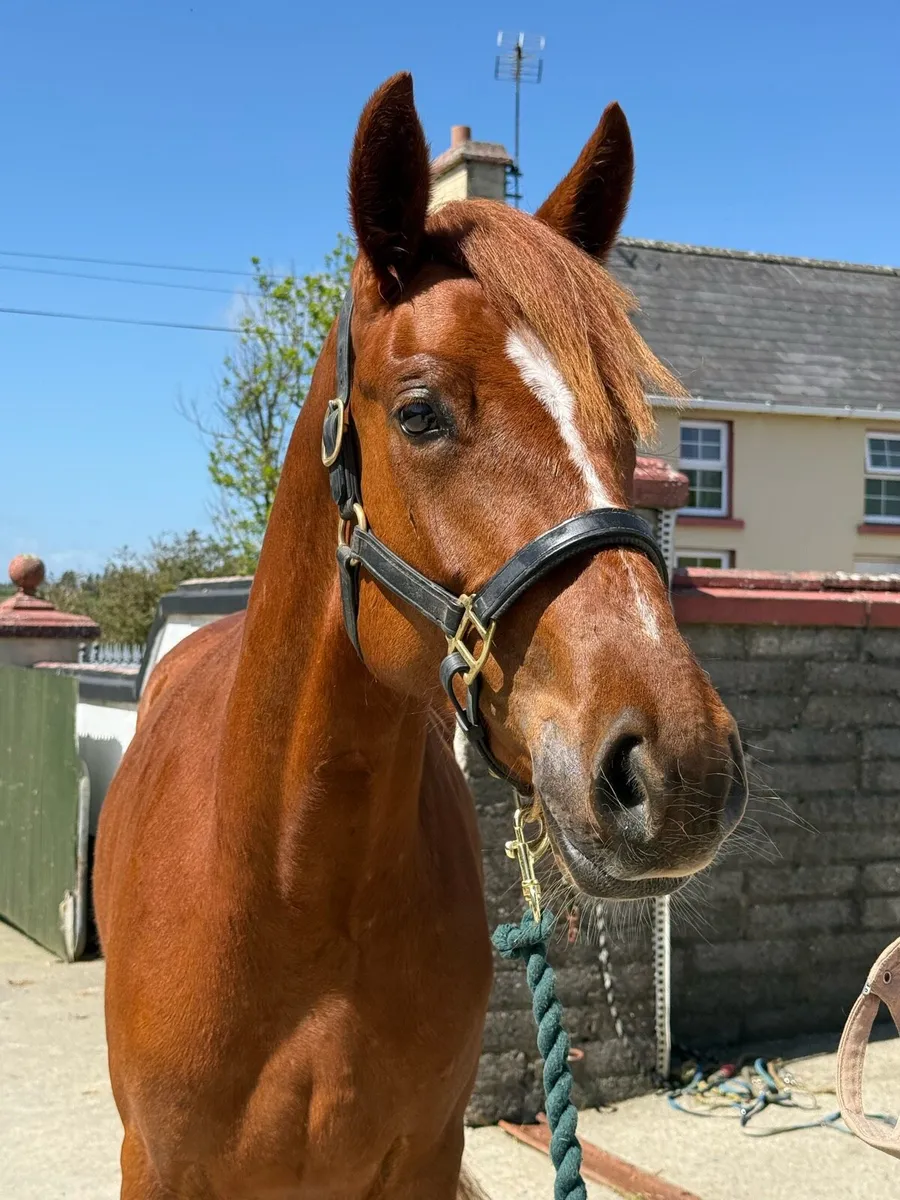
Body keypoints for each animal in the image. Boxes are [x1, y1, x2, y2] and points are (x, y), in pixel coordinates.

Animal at [94, 72, 748, 1200]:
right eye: (420, 413)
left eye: (628, 428)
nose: (681, 770)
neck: (292, 891)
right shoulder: (159, 1167)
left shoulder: (425, 1156)